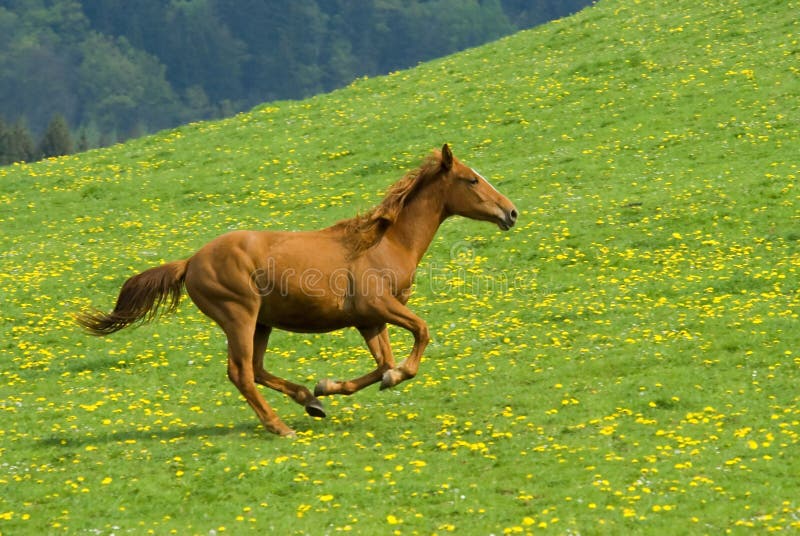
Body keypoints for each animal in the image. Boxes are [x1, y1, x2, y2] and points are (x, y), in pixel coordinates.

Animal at [79, 144, 520, 438]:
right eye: (471, 179)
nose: (511, 212)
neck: (384, 243)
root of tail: (190, 262)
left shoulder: (369, 320)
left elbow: (382, 363)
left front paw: (331, 387)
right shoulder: (380, 306)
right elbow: (419, 338)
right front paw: (391, 378)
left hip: (262, 322)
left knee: (256, 369)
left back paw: (310, 400)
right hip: (239, 316)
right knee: (241, 373)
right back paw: (280, 426)